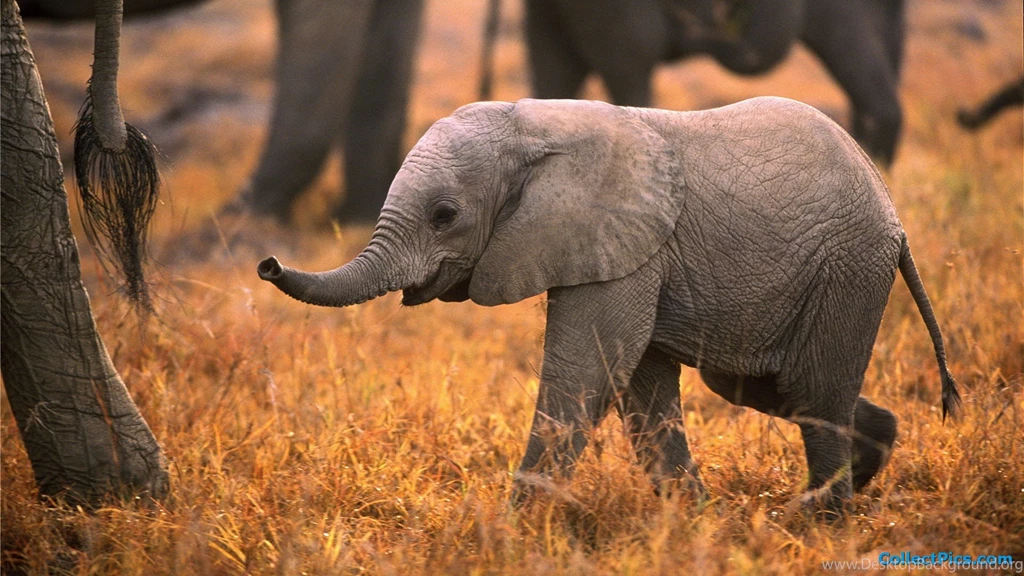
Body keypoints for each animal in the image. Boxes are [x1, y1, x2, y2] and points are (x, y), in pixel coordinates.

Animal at [257, 97, 960, 514]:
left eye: (444, 215)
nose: (266, 263)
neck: (531, 126)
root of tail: (892, 212)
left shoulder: (624, 243)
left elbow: (585, 374)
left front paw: (509, 529)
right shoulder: (629, 251)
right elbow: (641, 389)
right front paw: (691, 519)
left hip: (847, 268)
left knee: (814, 394)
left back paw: (812, 516)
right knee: (772, 388)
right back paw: (867, 465)